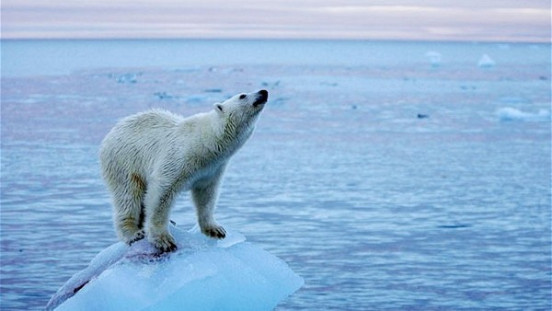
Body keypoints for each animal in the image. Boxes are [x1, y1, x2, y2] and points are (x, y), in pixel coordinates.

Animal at [101, 90, 270, 254]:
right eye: (242, 95)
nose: (264, 91)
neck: (206, 142)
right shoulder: (178, 157)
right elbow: (161, 193)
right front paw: (163, 240)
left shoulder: (212, 169)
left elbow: (206, 196)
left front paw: (215, 229)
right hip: (125, 161)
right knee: (128, 195)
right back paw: (133, 233)